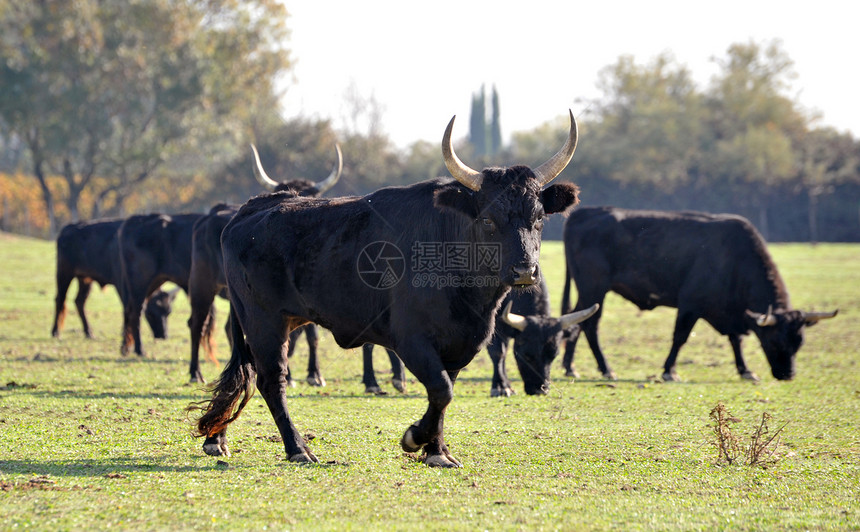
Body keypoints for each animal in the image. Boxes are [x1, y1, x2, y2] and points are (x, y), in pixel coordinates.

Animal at [188, 144, 342, 386]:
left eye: (313, 197)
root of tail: (209, 215)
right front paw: (290, 376)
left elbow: (311, 336)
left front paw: (314, 374)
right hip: (201, 285)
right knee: (197, 325)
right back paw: (195, 373)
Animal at [560, 205, 836, 382]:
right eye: (775, 341)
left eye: (799, 342)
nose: (788, 375)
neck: (735, 258)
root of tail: (583, 213)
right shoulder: (690, 304)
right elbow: (680, 337)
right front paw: (669, 371)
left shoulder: (730, 312)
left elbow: (736, 340)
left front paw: (745, 370)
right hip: (595, 288)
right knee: (589, 325)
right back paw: (605, 368)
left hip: (588, 291)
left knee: (576, 320)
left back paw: (570, 366)